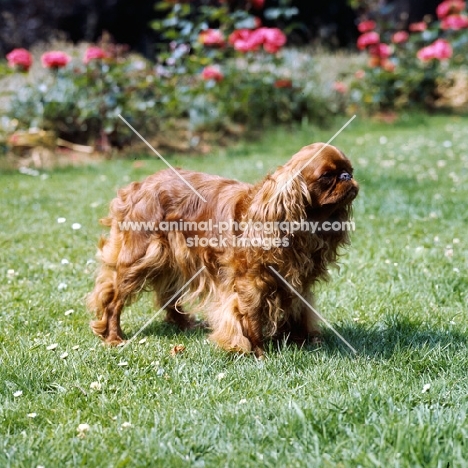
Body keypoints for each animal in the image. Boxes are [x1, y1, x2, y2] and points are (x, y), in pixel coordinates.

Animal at [87, 142, 358, 354]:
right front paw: (259, 353)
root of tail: (138, 186)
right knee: (113, 300)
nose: (347, 177)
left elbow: (300, 310)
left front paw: (302, 341)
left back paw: (183, 324)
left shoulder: (298, 281)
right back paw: (113, 337)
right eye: (327, 176)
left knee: (167, 296)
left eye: (349, 170)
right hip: (141, 258)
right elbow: (250, 317)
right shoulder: (250, 283)